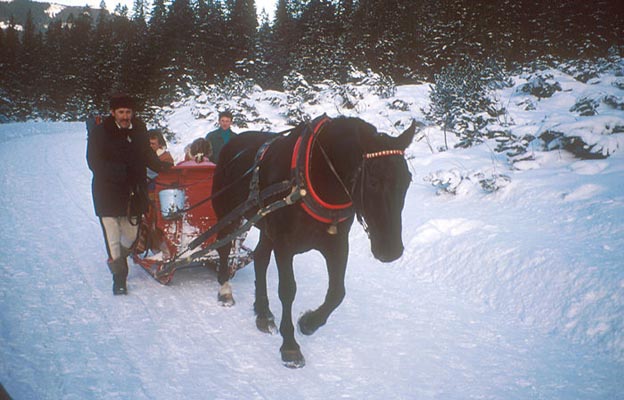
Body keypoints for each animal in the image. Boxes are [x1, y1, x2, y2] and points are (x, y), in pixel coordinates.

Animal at [212, 114, 416, 368]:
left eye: (407, 180)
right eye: (373, 181)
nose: (391, 250)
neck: (315, 174)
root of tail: (231, 144)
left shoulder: (337, 244)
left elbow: (337, 292)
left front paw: (309, 322)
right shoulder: (284, 245)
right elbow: (288, 290)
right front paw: (290, 345)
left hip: (266, 226)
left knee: (259, 258)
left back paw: (263, 311)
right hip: (228, 214)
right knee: (223, 247)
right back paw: (225, 291)